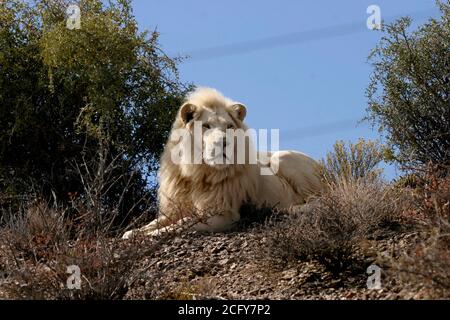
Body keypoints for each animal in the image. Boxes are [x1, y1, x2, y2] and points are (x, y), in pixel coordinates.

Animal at [121, 87, 322, 238]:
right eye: (206, 126)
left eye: (229, 126)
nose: (224, 142)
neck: (197, 172)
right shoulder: (176, 208)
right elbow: (149, 225)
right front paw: (133, 234)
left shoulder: (224, 215)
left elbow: (183, 223)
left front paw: (152, 235)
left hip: (282, 158)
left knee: (320, 199)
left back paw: (288, 209)